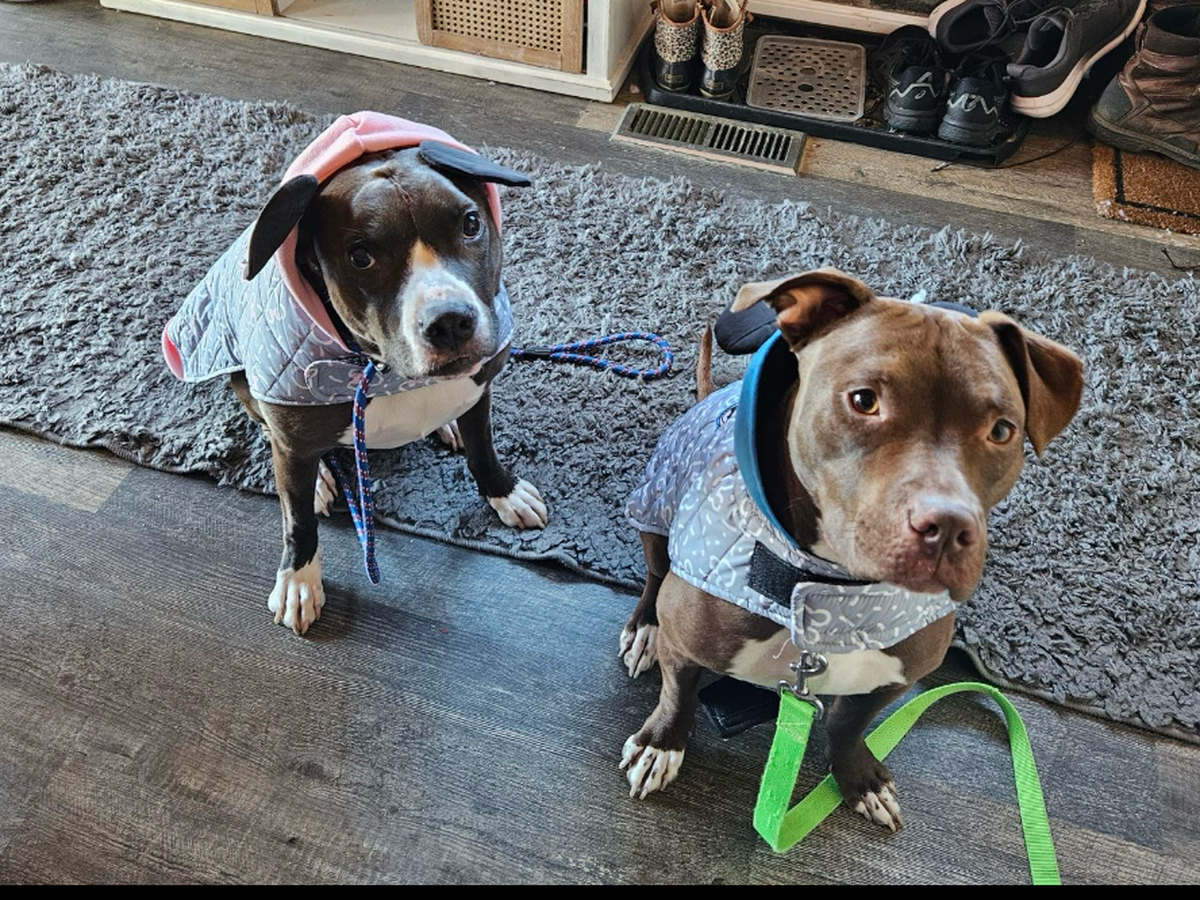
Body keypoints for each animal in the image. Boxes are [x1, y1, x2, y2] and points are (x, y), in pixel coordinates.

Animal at [163, 113, 547, 635]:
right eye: (360, 255)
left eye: (470, 223)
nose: (449, 321)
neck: (389, 372)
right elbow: (297, 520)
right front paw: (299, 578)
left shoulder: (479, 385)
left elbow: (483, 447)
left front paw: (504, 492)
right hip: (246, 381)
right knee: (275, 439)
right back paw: (320, 478)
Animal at [619, 268, 1082, 830]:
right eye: (864, 400)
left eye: (1001, 430)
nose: (947, 525)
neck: (831, 596)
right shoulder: (685, 645)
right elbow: (678, 694)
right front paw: (661, 744)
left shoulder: (896, 678)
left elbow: (847, 724)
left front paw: (858, 777)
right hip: (655, 505)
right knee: (655, 575)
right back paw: (644, 629)